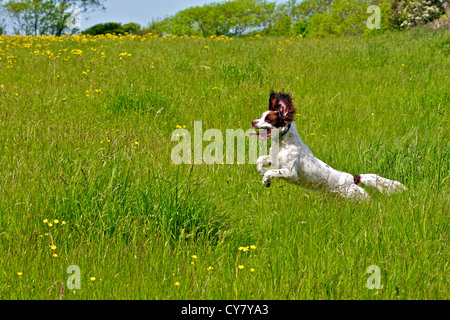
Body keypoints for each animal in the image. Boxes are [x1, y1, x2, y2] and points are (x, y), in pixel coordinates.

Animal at [250, 90, 408, 200]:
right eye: (261, 116)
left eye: (268, 119)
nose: (253, 121)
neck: (283, 143)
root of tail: (353, 177)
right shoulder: (274, 158)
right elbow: (260, 160)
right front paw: (262, 171)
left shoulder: (291, 172)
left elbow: (272, 172)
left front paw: (266, 180)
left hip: (357, 196)